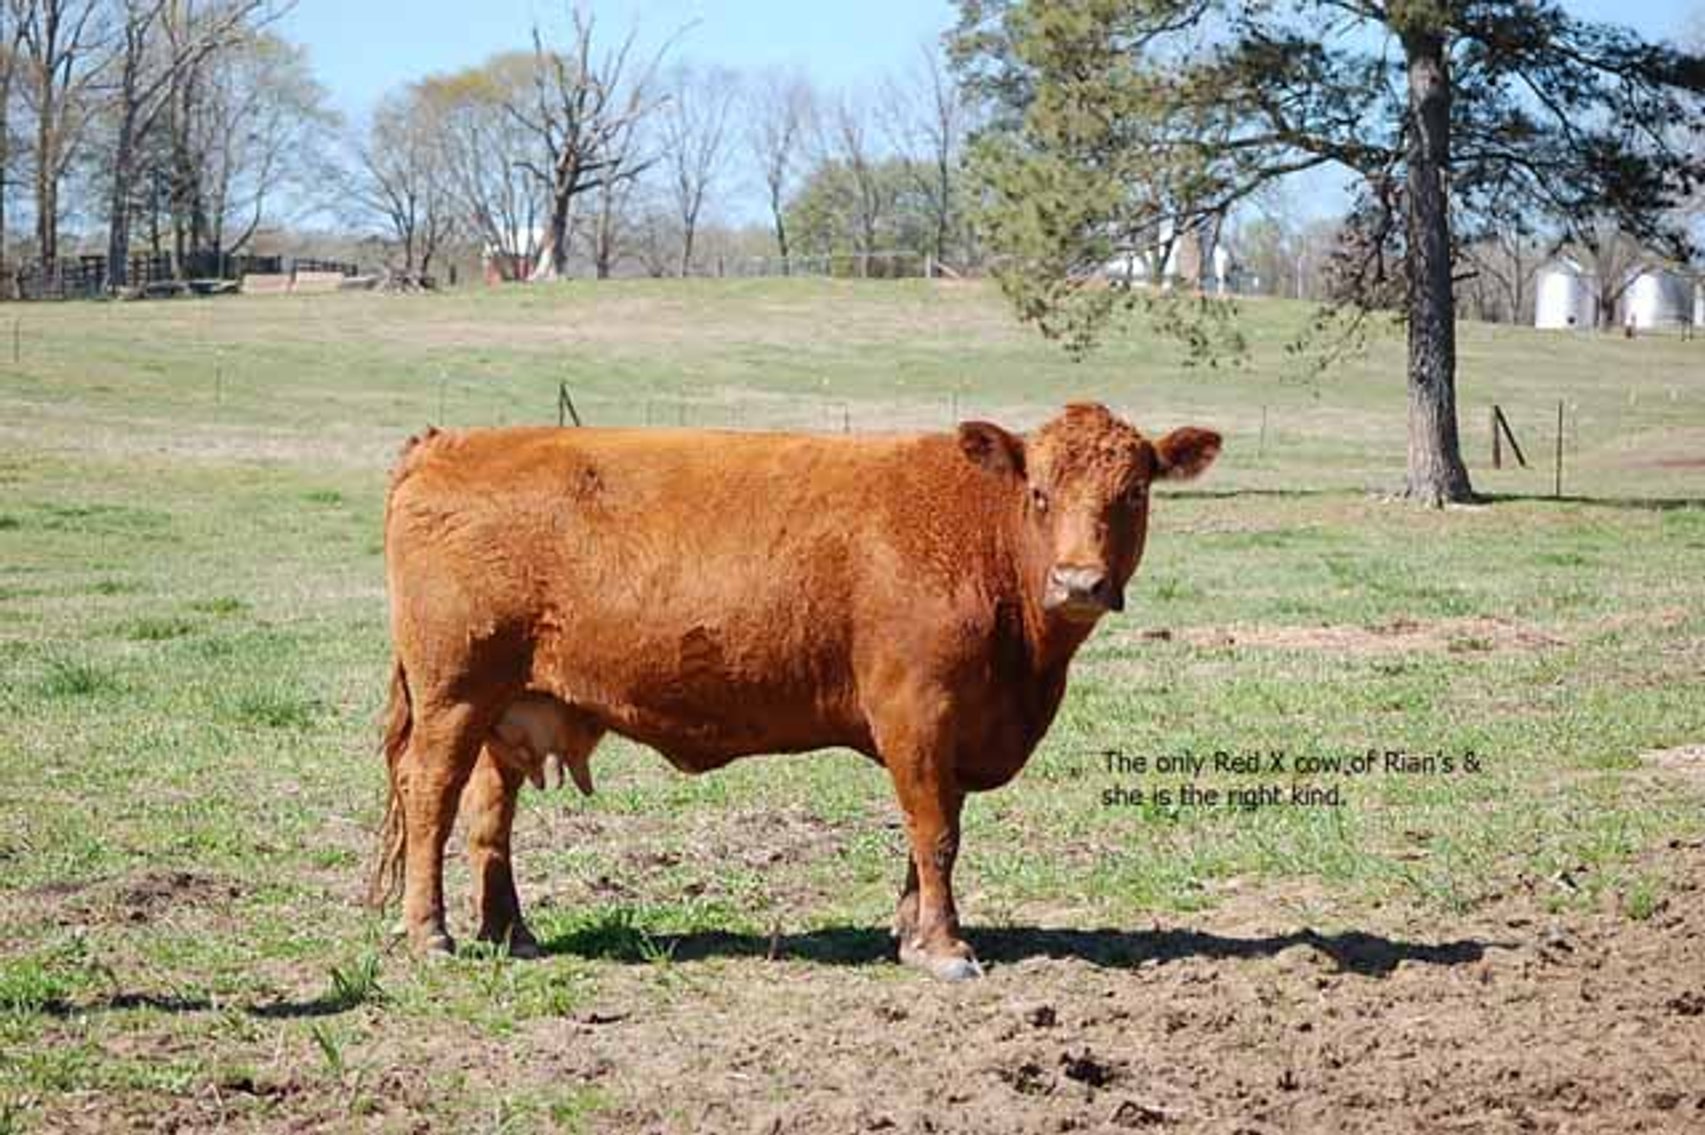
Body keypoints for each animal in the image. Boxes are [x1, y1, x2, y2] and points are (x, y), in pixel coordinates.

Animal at [370, 403, 1220, 980]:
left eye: (1134, 493)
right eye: (1039, 492)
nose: (1079, 582)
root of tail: (447, 442)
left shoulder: (951, 729)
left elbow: (927, 833)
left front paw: (910, 934)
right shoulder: (915, 711)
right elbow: (935, 831)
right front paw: (944, 947)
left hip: (506, 703)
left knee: (490, 812)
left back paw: (508, 931)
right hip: (452, 691)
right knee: (431, 795)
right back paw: (432, 933)